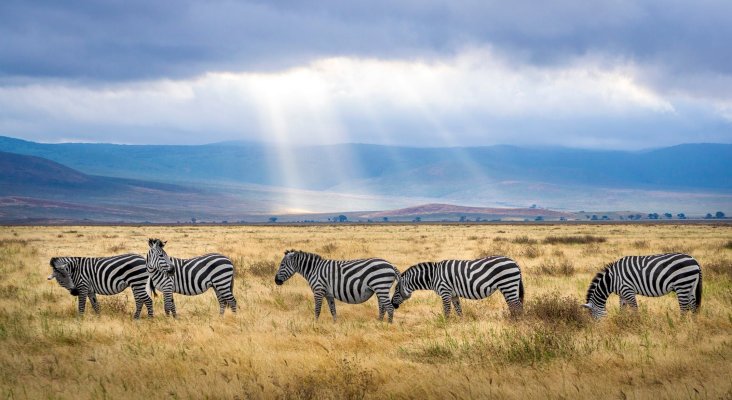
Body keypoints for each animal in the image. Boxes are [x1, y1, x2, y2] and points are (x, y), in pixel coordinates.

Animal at [392, 256, 524, 318]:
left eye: (396, 290)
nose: (393, 304)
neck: (433, 276)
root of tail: (514, 262)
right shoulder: (454, 294)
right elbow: (458, 310)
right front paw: (461, 324)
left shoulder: (445, 291)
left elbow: (447, 310)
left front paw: (445, 325)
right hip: (509, 287)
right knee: (514, 305)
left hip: (508, 284)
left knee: (517, 305)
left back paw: (516, 322)